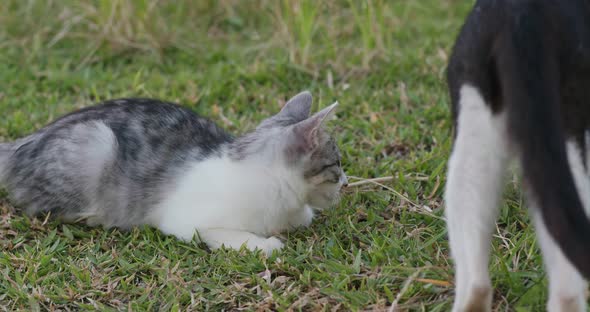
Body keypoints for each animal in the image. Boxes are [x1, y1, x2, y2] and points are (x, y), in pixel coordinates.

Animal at [0, 91, 346, 256]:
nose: (345, 182)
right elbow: (228, 234)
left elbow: (304, 217)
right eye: (336, 163)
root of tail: (21, 143)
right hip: (95, 142)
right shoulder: (187, 223)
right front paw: (266, 245)